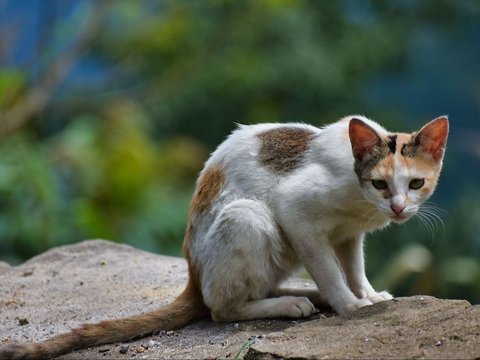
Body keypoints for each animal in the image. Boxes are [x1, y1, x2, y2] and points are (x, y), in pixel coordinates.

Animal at [0, 115, 450, 360]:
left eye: (415, 184)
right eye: (380, 184)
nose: (398, 207)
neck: (359, 202)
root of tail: (192, 273)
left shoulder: (348, 235)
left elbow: (354, 269)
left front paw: (369, 296)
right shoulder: (297, 214)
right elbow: (331, 272)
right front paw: (350, 306)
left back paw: (303, 294)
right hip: (249, 216)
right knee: (222, 308)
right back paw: (292, 303)